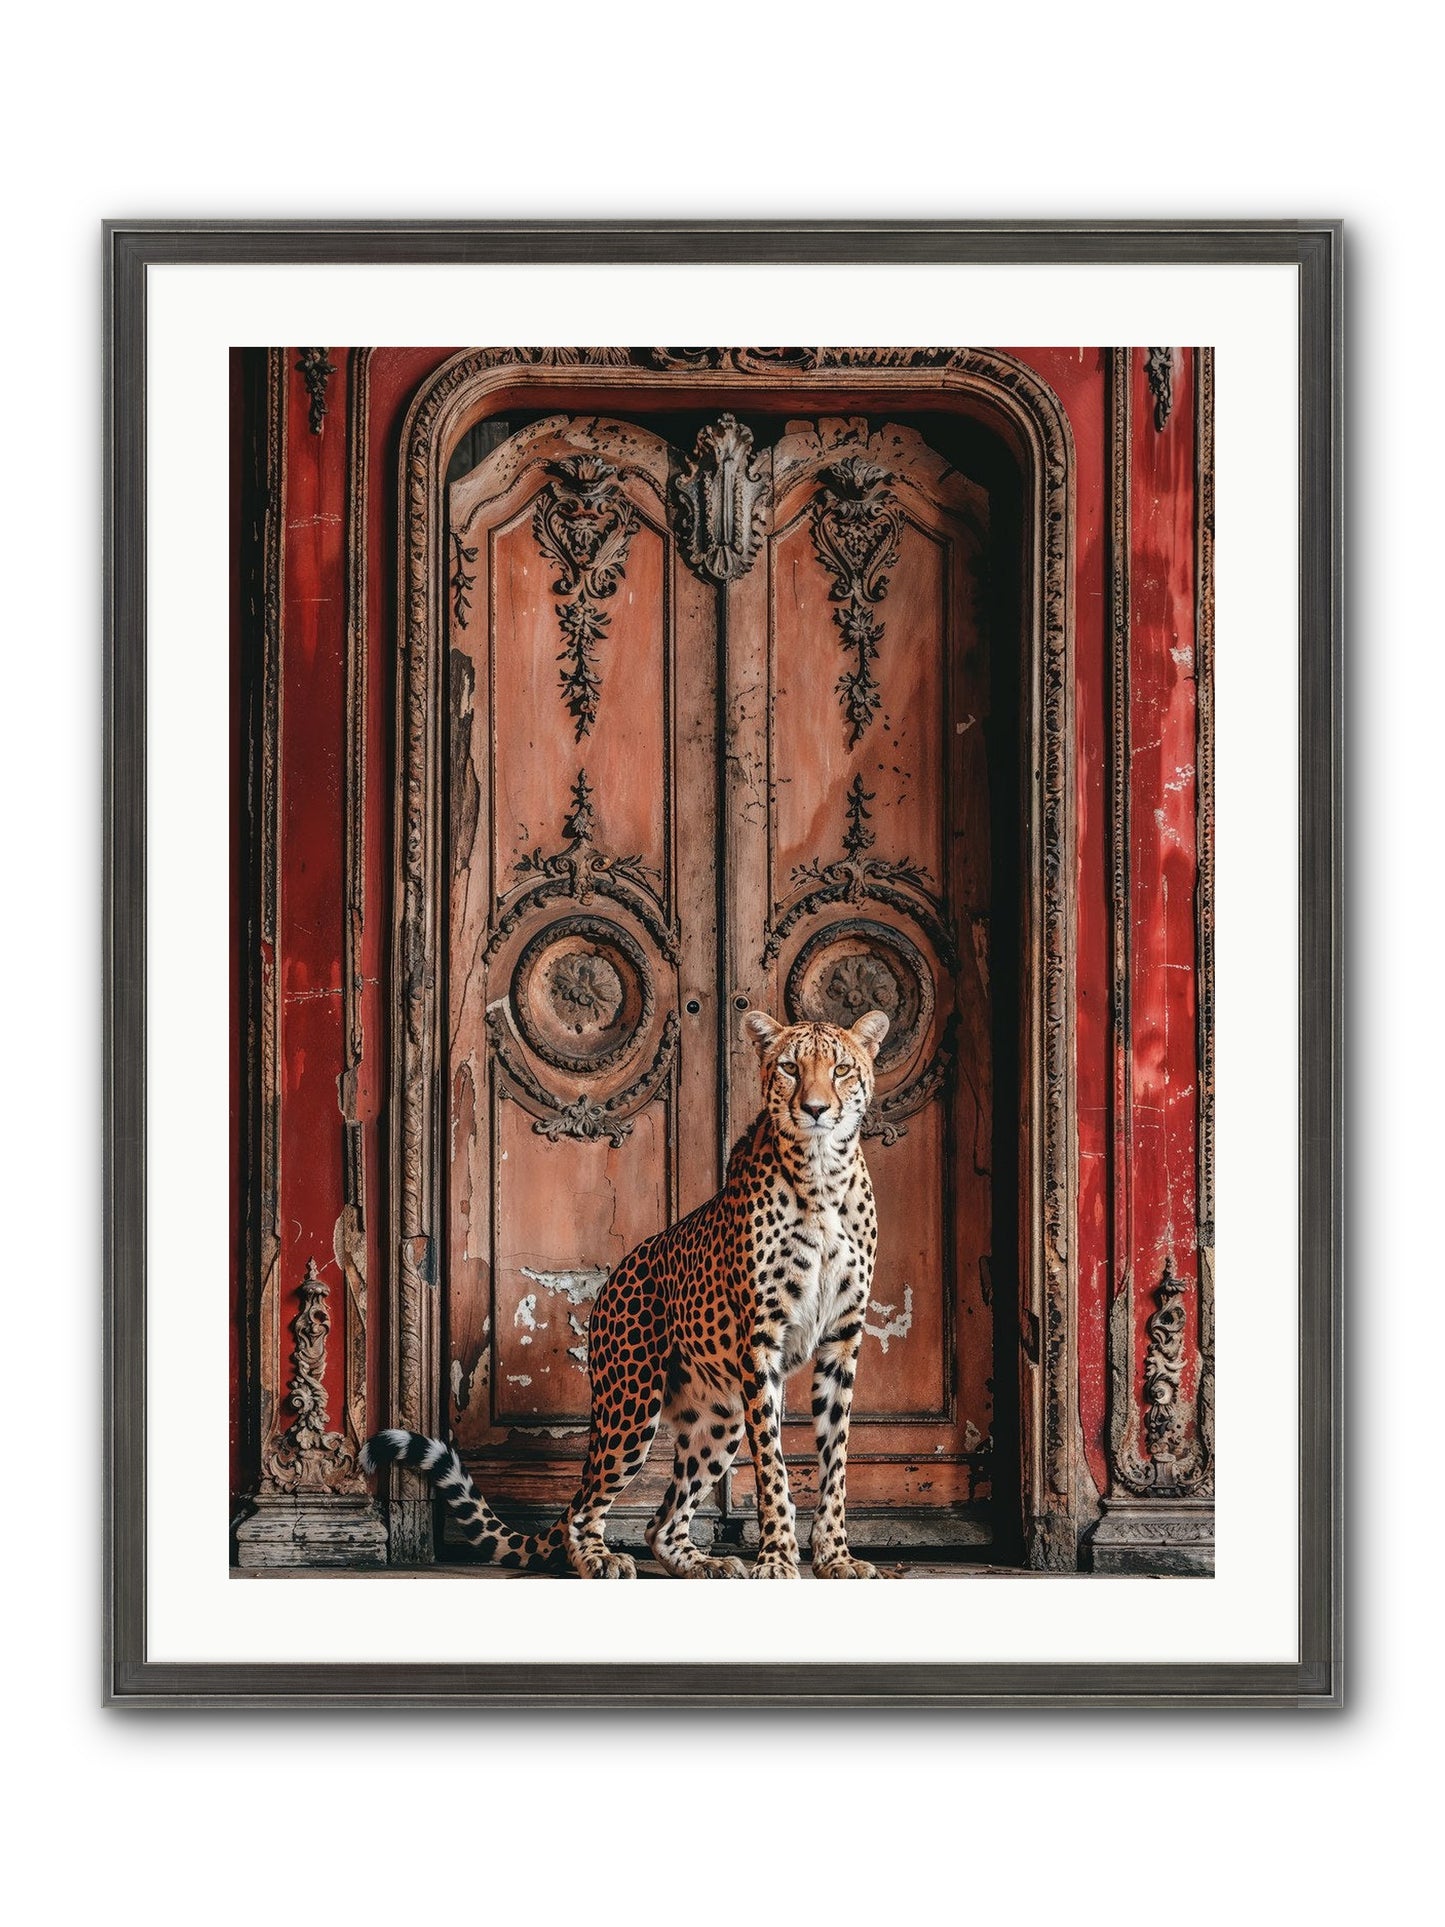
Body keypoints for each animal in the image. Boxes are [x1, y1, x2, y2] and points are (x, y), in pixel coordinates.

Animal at [362, 1006, 890, 1579]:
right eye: (791, 1068)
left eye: (841, 1069)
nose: (815, 1109)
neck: (822, 1176)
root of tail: (614, 1277)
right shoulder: (761, 1343)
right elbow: (773, 1464)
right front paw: (776, 1559)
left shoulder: (842, 1339)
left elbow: (835, 1461)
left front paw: (836, 1557)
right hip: (632, 1405)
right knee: (585, 1509)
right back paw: (601, 1558)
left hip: (719, 1417)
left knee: (659, 1523)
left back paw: (705, 1563)